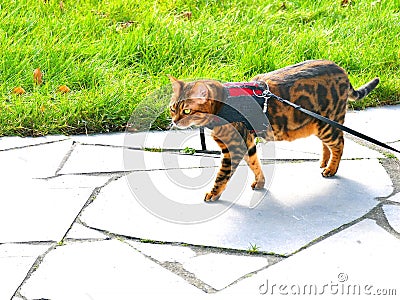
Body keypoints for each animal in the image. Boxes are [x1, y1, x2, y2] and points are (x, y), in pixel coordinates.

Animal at [168, 59, 378, 200]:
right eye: (172, 108)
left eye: (186, 110)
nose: (175, 121)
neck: (223, 106)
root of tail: (341, 70)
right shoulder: (248, 142)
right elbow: (255, 164)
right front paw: (260, 182)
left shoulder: (235, 147)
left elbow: (222, 175)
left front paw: (213, 194)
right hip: (318, 124)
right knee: (328, 145)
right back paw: (324, 162)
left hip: (326, 123)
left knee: (339, 143)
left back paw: (331, 169)